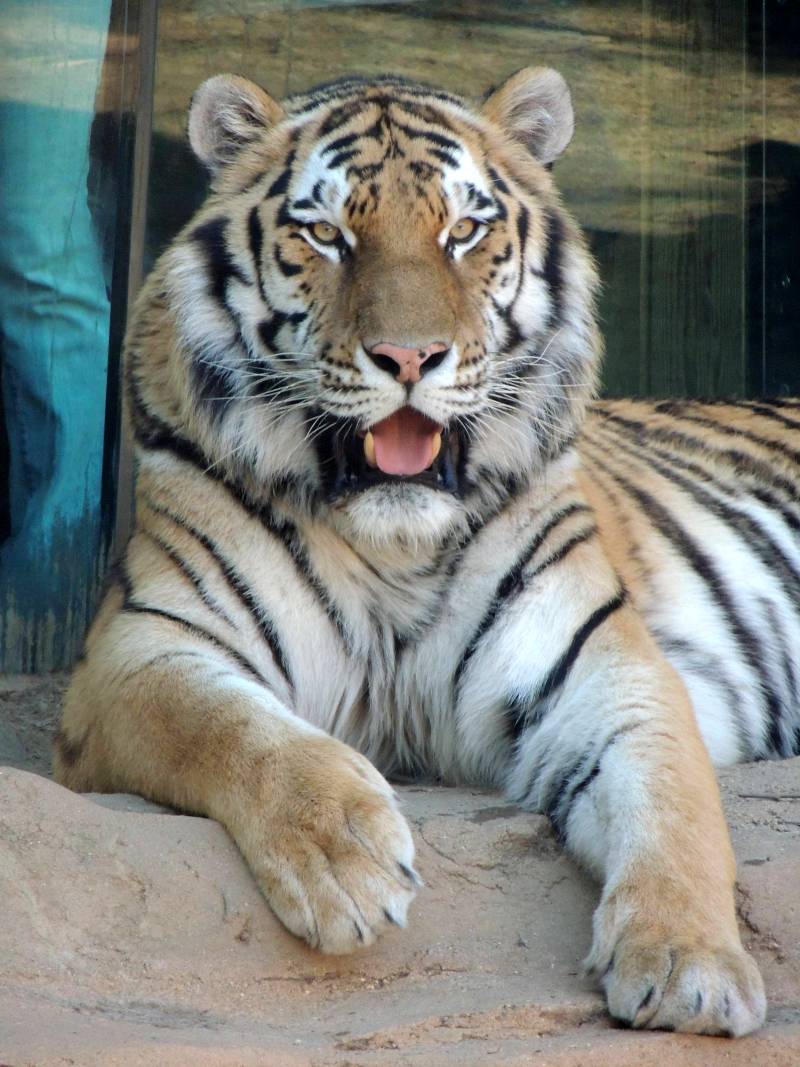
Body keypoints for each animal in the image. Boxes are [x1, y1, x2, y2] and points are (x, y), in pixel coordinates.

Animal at [54, 66, 800, 1038]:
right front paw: (344, 857)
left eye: (464, 232)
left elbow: (673, 809)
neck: (395, 543)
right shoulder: (140, 646)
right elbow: (228, 727)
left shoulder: (606, 668)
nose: (409, 358)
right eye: (327, 234)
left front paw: (691, 965)